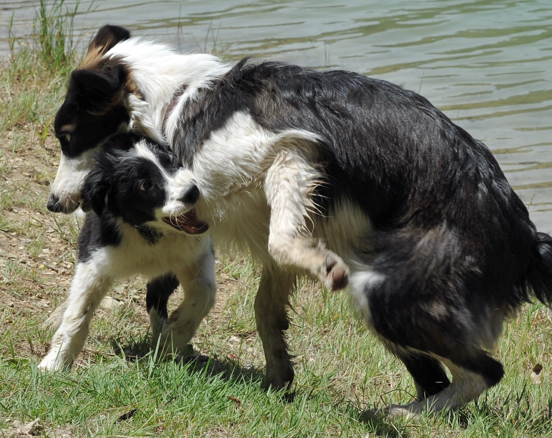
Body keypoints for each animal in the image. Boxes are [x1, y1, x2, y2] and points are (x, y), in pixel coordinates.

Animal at [38, 133, 215, 370]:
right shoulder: (94, 258)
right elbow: (79, 313)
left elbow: (204, 294)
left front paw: (171, 340)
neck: (148, 232)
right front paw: (54, 363)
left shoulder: (197, 253)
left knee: (156, 297)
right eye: (145, 185)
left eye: (172, 162)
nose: (193, 192)